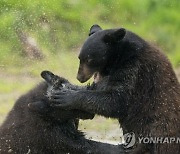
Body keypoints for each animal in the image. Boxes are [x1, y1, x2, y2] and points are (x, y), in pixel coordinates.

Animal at [48, 25, 180, 154]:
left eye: (90, 60)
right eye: (79, 58)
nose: (79, 77)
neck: (117, 58)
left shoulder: (134, 71)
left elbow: (116, 100)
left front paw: (64, 97)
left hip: (157, 128)